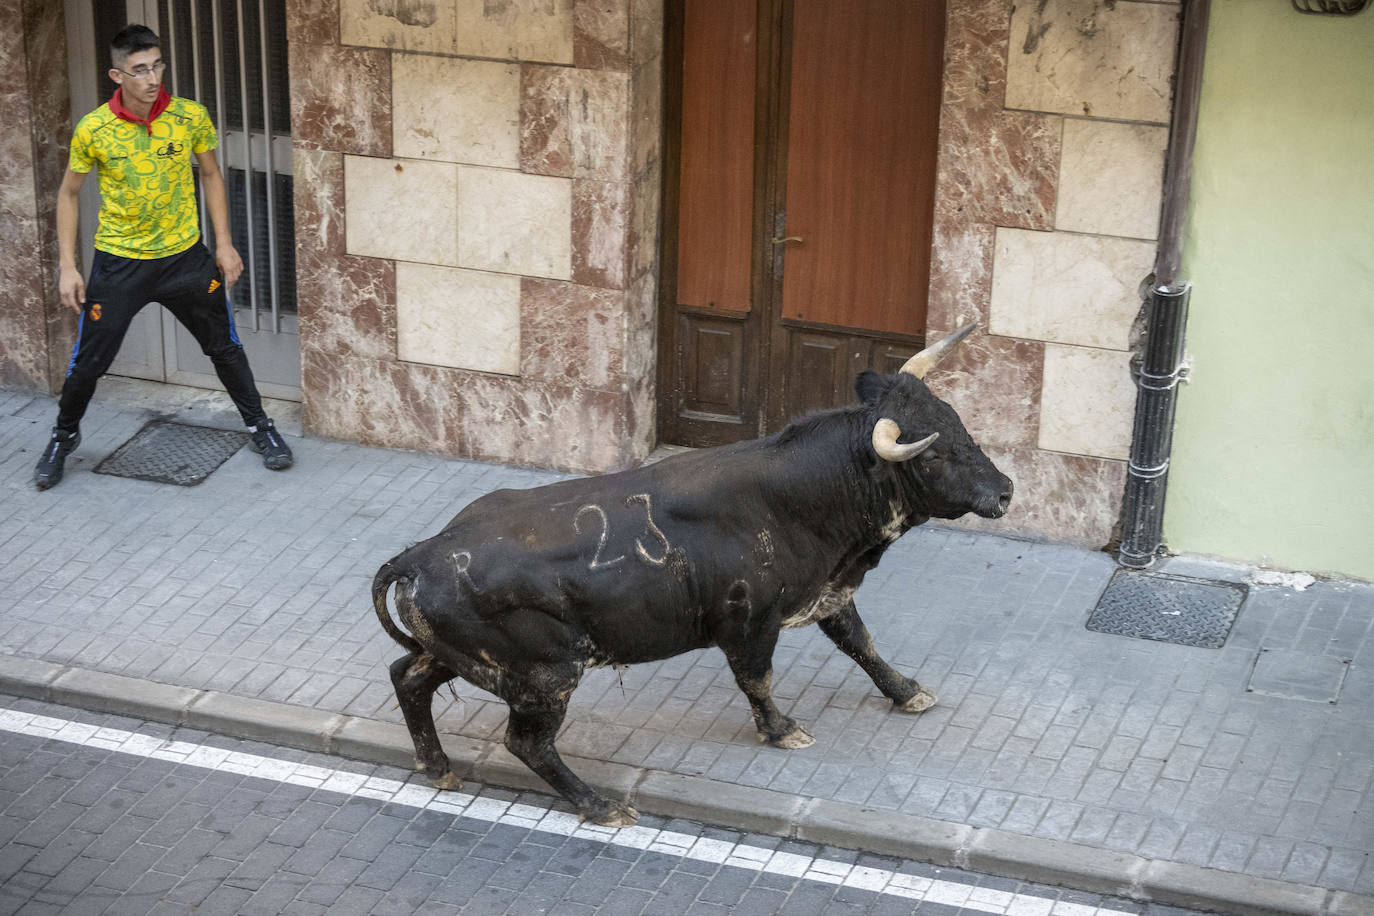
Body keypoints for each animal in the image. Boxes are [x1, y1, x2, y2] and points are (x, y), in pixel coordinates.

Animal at [373, 325, 1011, 829]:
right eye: (932, 455)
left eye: (958, 424)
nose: (1005, 491)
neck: (804, 499)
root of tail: (425, 551)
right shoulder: (749, 623)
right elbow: (759, 679)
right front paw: (781, 730)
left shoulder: (825, 593)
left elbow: (861, 642)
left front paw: (907, 691)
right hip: (545, 674)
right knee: (526, 741)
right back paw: (600, 805)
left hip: (469, 657)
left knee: (409, 676)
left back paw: (437, 767)